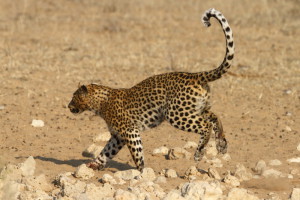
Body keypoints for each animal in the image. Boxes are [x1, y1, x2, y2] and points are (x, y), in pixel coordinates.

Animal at [68, 7, 234, 170]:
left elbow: (137, 154)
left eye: (74, 97)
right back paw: (221, 144)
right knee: (215, 117)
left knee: (205, 125)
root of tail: (195, 75)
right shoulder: (118, 136)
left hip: (176, 114)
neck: (100, 104)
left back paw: (199, 152)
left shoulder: (129, 131)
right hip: (197, 108)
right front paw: (94, 164)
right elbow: (106, 151)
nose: (68, 106)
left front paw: (141, 172)